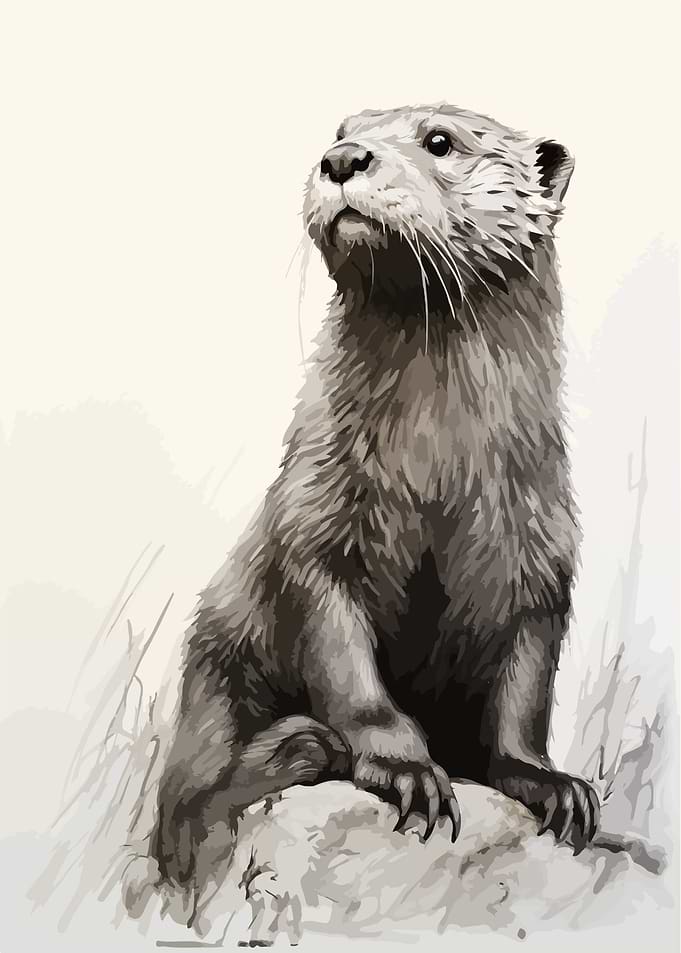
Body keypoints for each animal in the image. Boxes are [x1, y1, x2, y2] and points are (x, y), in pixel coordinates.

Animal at [151, 102, 599, 897]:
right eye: (339, 129)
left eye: (441, 141)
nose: (342, 159)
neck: (437, 474)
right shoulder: (316, 515)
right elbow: (342, 660)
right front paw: (401, 766)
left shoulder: (537, 543)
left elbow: (524, 691)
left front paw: (548, 782)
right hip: (217, 660)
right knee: (182, 803)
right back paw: (292, 751)